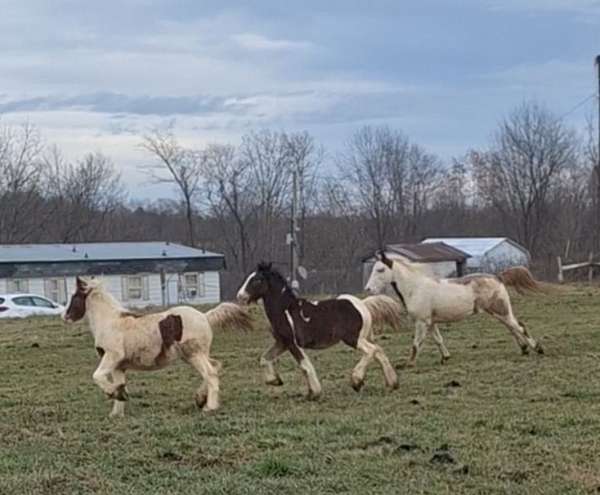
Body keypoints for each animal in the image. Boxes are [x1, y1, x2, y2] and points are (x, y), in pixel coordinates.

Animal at [63, 278, 253, 416]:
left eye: (75, 296)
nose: (65, 316)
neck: (110, 322)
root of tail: (206, 316)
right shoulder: (119, 366)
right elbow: (120, 385)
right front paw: (117, 410)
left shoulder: (112, 356)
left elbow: (97, 376)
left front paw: (112, 394)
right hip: (195, 355)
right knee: (215, 366)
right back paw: (200, 398)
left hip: (194, 354)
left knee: (211, 373)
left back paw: (209, 407)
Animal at [236, 264, 404, 400]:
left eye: (257, 280)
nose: (240, 297)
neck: (285, 310)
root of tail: (362, 304)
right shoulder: (282, 342)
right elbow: (264, 359)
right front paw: (275, 381)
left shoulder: (293, 343)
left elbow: (305, 366)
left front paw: (314, 393)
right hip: (364, 337)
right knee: (379, 351)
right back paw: (392, 383)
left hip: (353, 338)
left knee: (371, 351)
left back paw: (356, 381)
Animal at [364, 254, 548, 366]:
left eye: (380, 269)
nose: (368, 289)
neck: (415, 288)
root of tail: (497, 277)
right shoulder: (431, 322)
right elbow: (438, 340)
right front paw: (445, 357)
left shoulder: (421, 322)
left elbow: (416, 343)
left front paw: (409, 364)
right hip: (498, 313)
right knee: (512, 327)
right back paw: (524, 349)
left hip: (500, 310)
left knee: (519, 327)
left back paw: (537, 348)